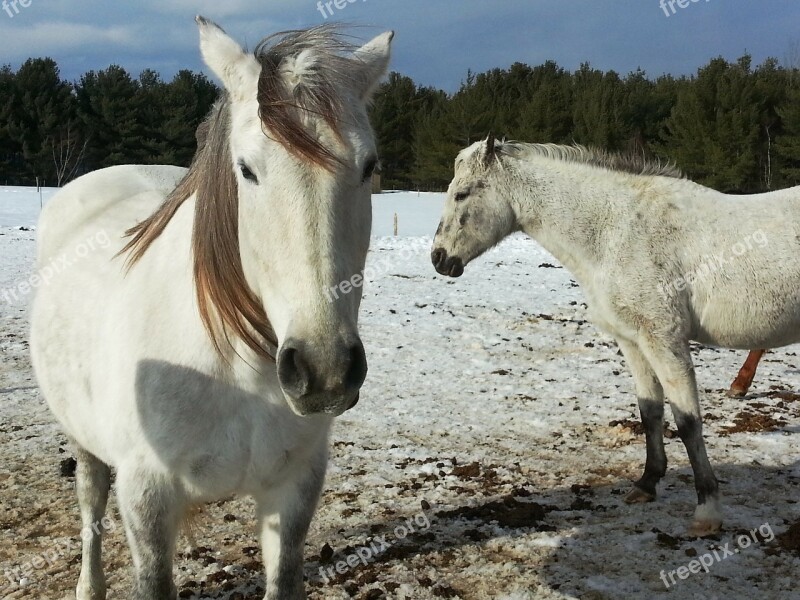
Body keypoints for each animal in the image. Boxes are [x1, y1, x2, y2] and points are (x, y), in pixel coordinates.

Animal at [29, 16, 392, 596]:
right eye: (246, 169)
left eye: (369, 166)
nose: (325, 371)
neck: (237, 370)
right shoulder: (147, 497)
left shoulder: (294, 488)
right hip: (83, 440)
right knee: (90, 506)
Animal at [434, 138, 800, 536]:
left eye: (462, 194)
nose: (439, 259)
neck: (618, 231)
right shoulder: (633, 341)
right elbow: (650, 411)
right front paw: (646, 483)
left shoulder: (664, 339)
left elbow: (687, 422)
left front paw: (707, 510)